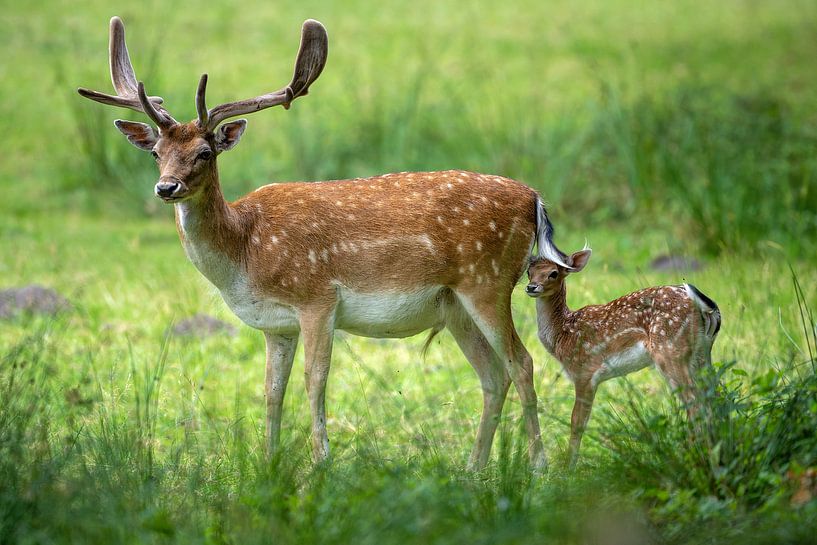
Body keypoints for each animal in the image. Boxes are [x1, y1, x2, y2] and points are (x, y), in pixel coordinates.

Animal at [77, 16, 573, 470]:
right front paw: (270, 463)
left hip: (488, 280)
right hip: (454, 305)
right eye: (156, 152)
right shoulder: (275, 324)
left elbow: (315, 381)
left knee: (522, 363)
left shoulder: (316, 297)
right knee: (493, 374)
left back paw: (538, 466)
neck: (245, 251)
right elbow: (271, 390)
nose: (166, 188)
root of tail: (534, 198)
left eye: (204, 152)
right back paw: (473, 469)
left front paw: (321, 463)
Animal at [525, 249, 721, 467]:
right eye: (528, 271)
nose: (531, 287)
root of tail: (706, 306)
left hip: (670, 350)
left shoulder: (584, 372)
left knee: (695, 402)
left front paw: (569, 467)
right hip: (702, 352)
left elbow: (577, 422)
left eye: (553, 273)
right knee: (712, 396)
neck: (563, 333)